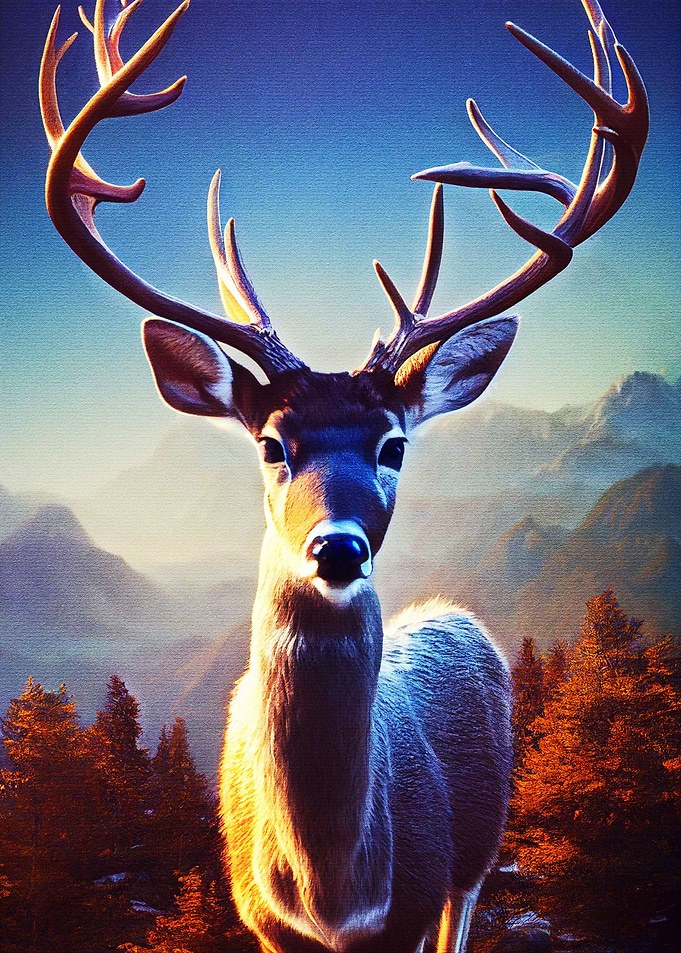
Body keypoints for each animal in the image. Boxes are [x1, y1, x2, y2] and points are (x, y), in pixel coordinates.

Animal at [39, 1, 647, 950]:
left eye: (393, 443)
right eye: (270, 444)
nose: (336, 547)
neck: (332, 888)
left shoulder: (414, 898)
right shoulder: (259, 919)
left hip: (475, 853)